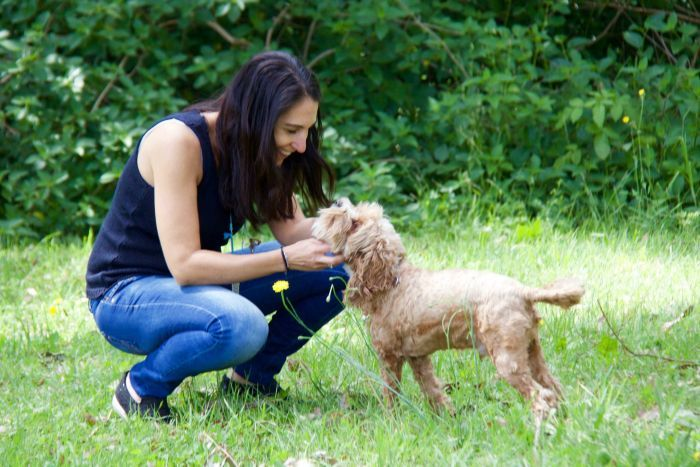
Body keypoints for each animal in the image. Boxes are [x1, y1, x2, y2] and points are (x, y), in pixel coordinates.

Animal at [314, 197, 584, 420]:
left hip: (508, 361)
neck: (393, 282)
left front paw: (391, 421)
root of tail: (523, 291)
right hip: (532, 352)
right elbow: (432, 388)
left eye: (355, 223)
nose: (337, 201)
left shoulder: (389, 356)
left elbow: (391, 392)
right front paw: (445, 416)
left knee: (542, 396)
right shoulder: (418, 357)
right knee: (554, 387)